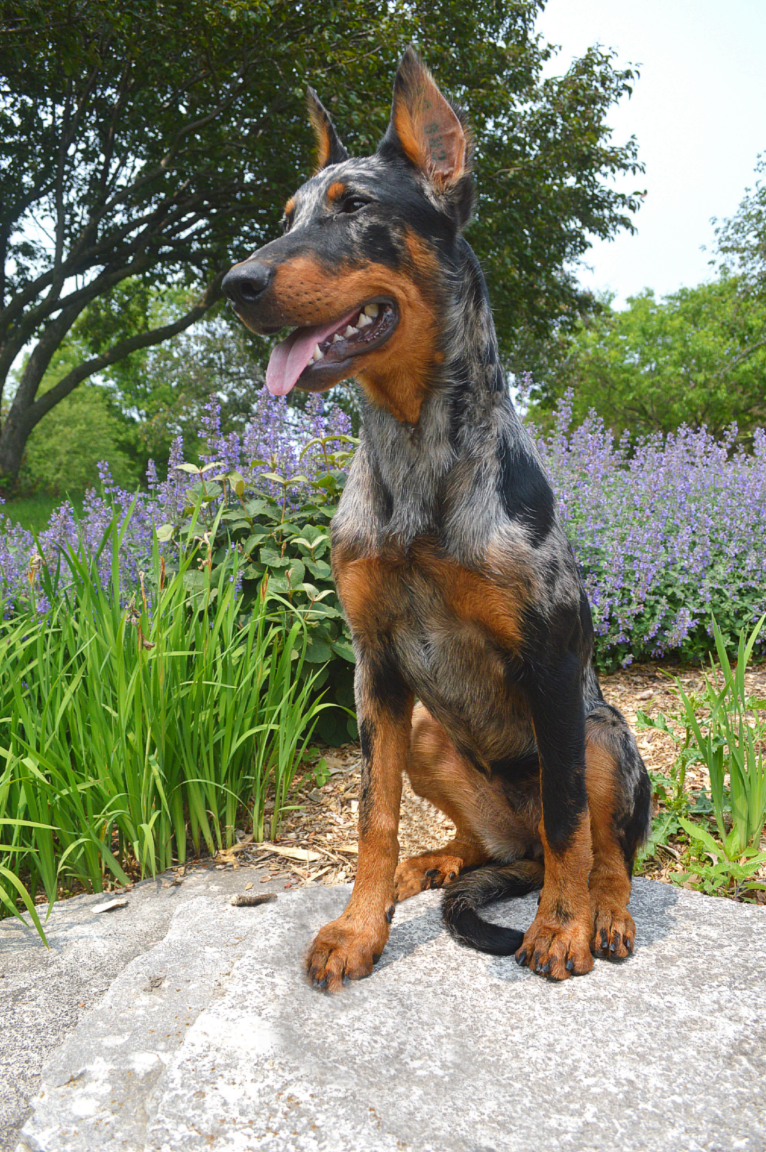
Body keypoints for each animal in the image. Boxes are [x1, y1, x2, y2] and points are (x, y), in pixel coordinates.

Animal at [222, 47, 649, 990]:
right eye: (287, 216)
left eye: (355, 208)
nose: (237, 283)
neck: (414, 451)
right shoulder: (377, 669)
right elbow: (370, 818)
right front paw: (360, 925)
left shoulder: (552, 664)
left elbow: (571, 818)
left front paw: (558, 928)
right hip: (426, 731)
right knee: (490, 843)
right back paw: (437, 864)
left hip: (606, 734)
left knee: (593, 846)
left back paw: (599, 910)